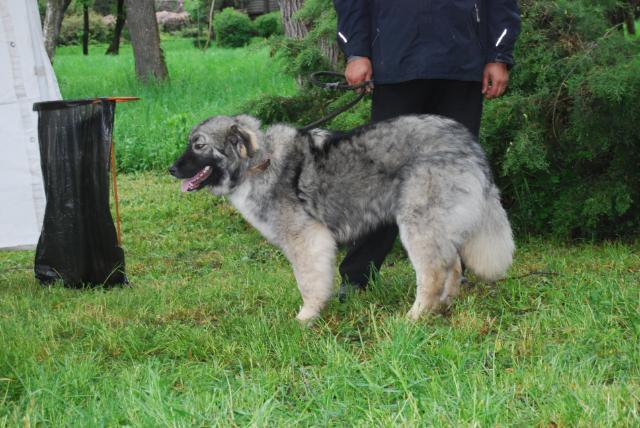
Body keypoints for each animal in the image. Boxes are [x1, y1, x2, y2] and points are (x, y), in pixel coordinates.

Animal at [170, 115, 516, 322]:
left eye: (199, 145)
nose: (171, 169)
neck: (259, 163)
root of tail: (470, 146)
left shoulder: (307, 240)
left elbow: (309, 283)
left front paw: (306, 317)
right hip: (438, 226)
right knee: (452, 265)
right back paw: (444, 305)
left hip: (417, 225)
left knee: (432, 272)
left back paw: (415, 316)